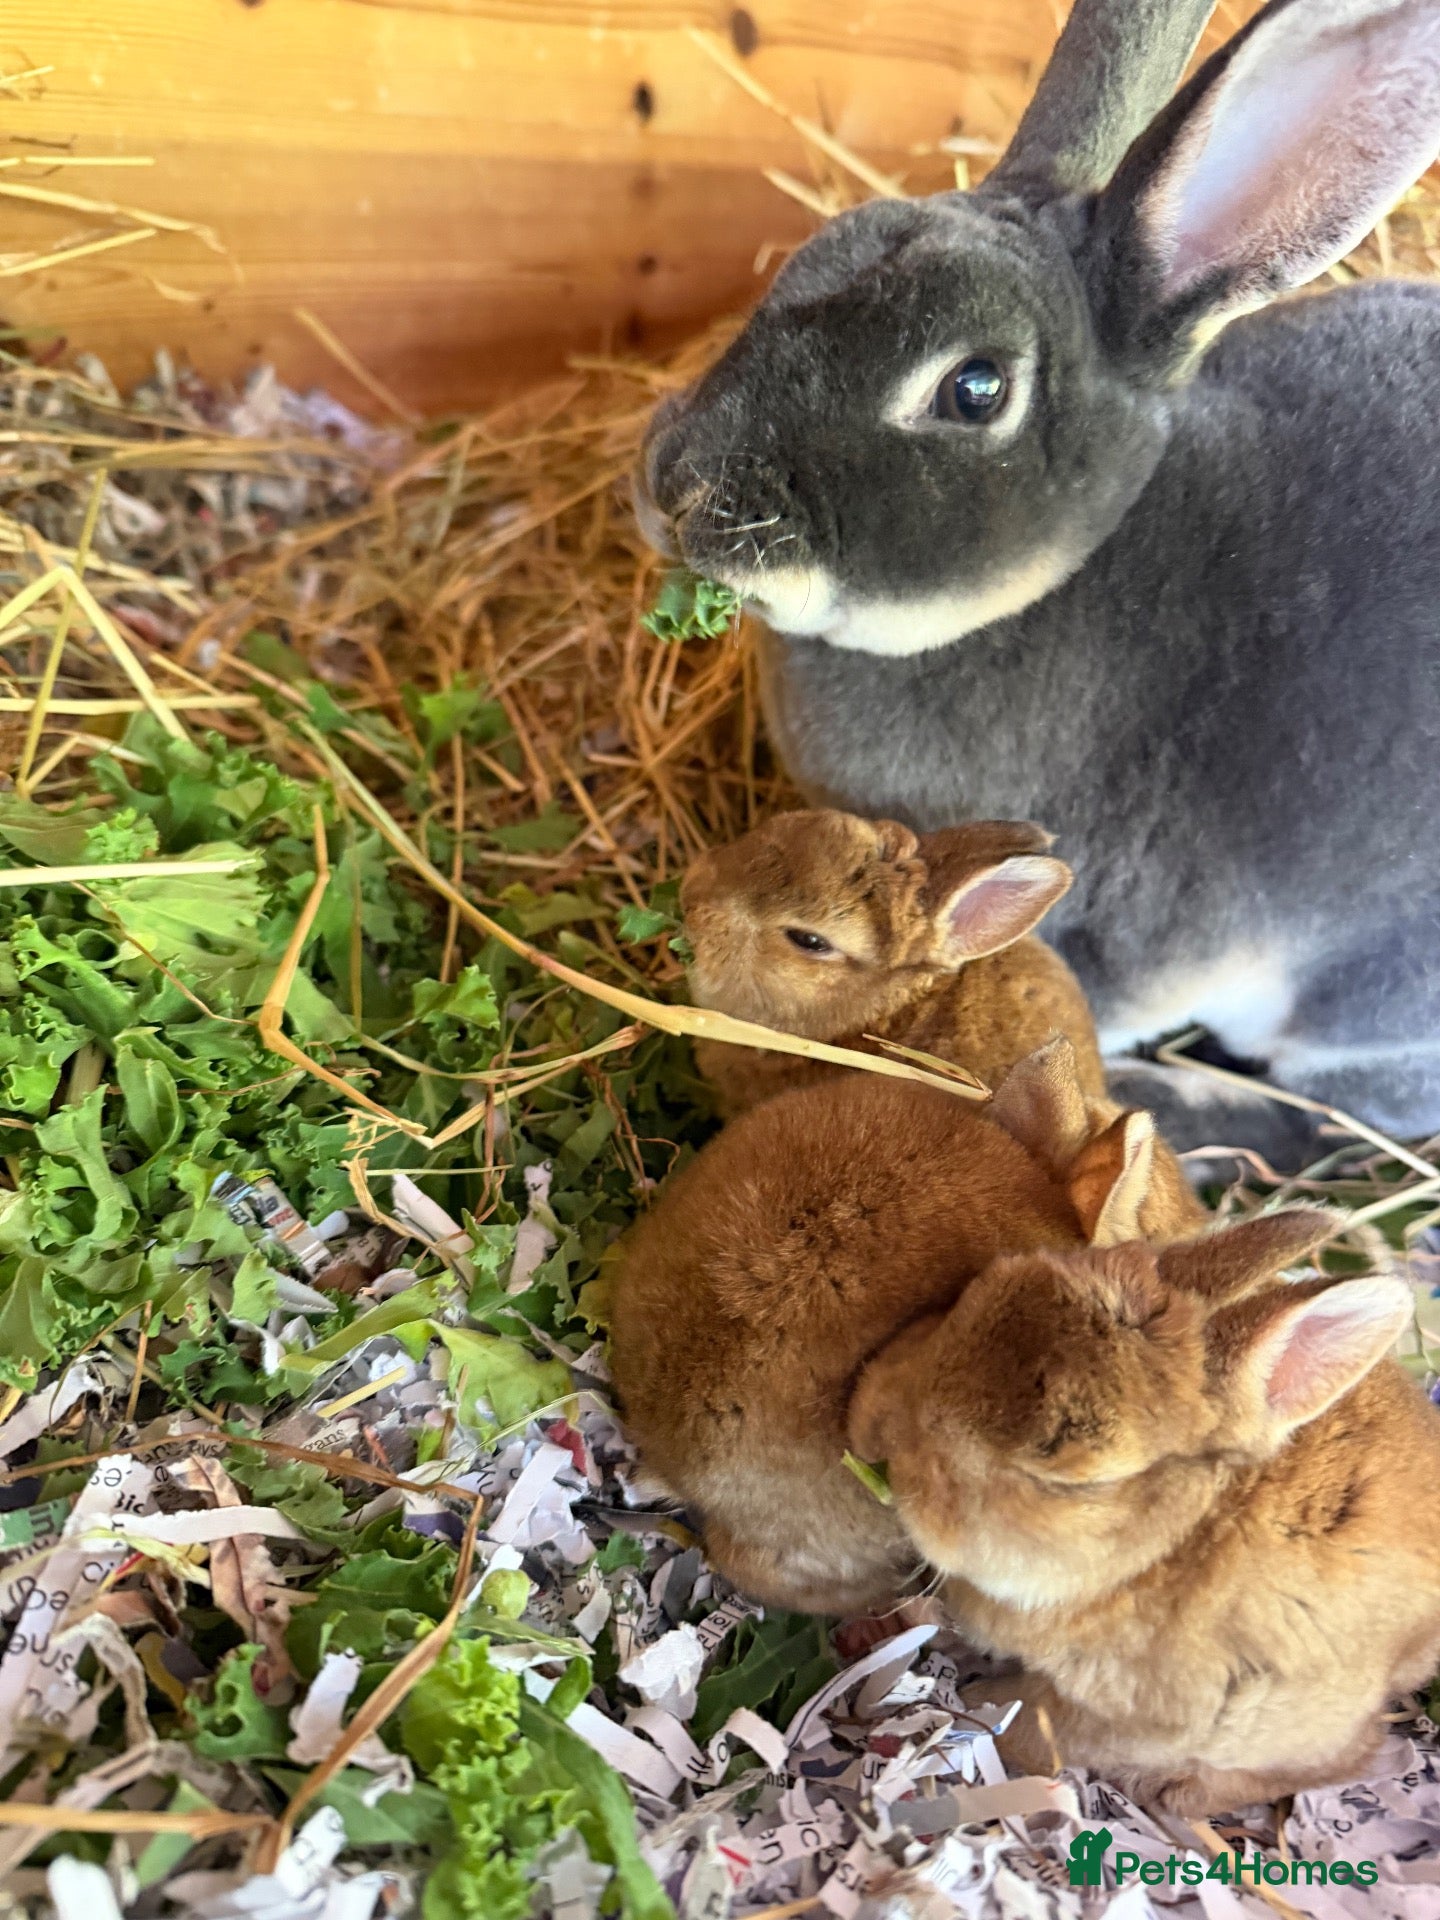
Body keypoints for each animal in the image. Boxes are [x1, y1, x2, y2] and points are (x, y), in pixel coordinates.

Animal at [848, 1207, 1440, 1814]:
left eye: (1068, 1481)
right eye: (974, 1296)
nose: (869, 1435)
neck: (1172, 1545)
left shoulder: (1137, 1716)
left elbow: (1034, 1724)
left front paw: (978, 1702)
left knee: (1344, 1756)